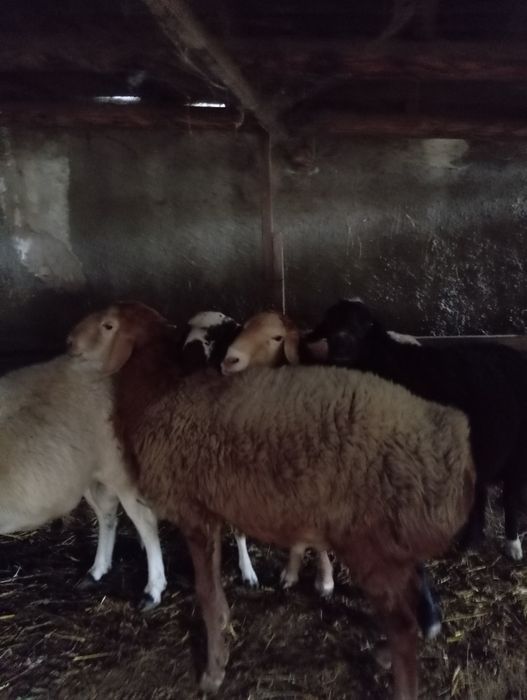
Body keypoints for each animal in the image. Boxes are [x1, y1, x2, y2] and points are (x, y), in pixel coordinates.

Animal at [0, 353, 167, 610]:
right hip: (90, 475)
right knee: (108, 516)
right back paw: (97, 571)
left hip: (119, 468)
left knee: (146, 522)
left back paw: (153, 589)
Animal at [306, 298, 527, 560]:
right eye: (330, 323)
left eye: (363, 325)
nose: (340, 344)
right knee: (481, 495)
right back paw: (469, 544)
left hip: (516, 454)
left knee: (510, 499)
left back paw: (511, 545)